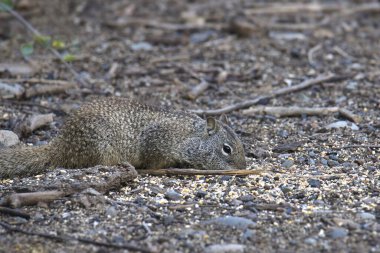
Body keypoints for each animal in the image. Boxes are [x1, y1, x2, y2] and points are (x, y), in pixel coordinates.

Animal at [0, 97, 246, 178]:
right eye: (227, 149)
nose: (243, 168)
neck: (190, 136)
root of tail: (60, 146)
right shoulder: (157, 143)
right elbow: (154, 162)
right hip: (100, 146)